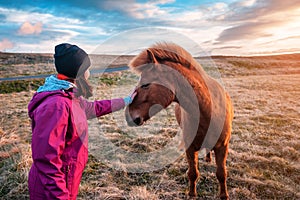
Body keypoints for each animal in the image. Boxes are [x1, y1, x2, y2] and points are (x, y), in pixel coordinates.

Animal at [125, 41, 233, 198]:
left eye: (145, 84)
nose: (128, 116)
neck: (210, 111)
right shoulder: (190, 148)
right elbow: (193, 173)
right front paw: (192, 194)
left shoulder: (222, 147)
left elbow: (221, 174)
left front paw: (224, 195)